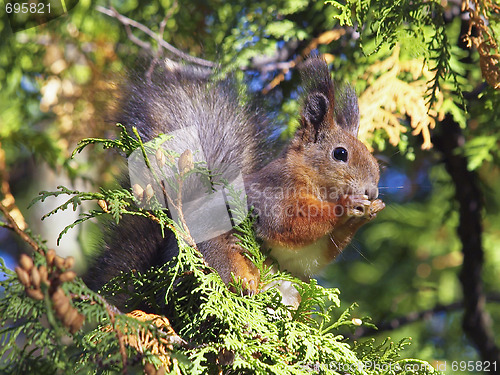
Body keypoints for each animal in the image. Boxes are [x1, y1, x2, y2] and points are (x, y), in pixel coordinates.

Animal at [84, 56, 384, 308]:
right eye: (340, 154)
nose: (371, 190)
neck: (309, 179)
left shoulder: (302, 257)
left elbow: (311, 255)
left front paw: (369, 212)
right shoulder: (271, 193)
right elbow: (288, 222)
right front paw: (346, 205)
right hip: (216, 254)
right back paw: (245, 286)